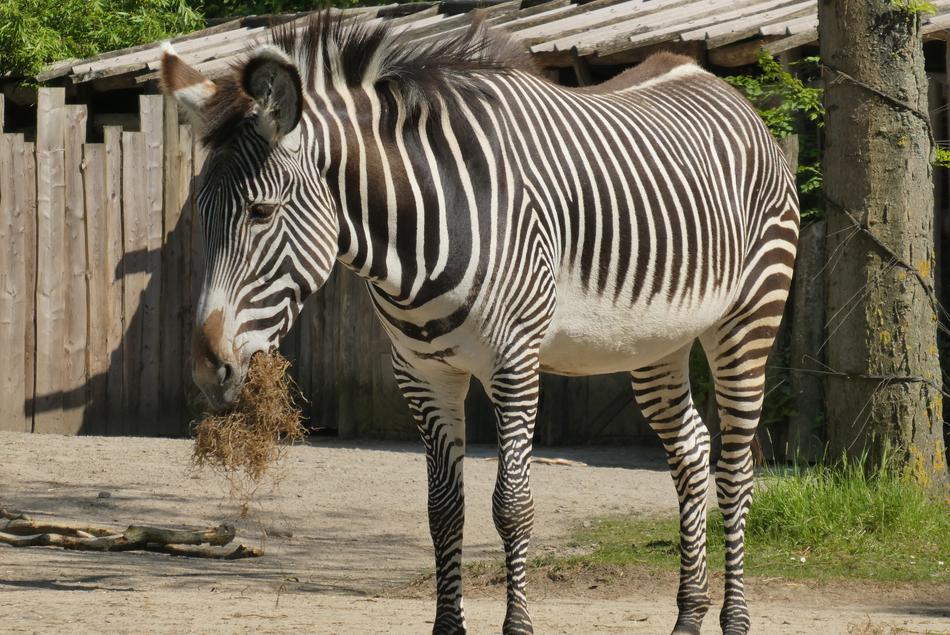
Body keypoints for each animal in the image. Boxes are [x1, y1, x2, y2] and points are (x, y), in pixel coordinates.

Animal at [162, 12, 798, 635]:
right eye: (201, 214)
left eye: (260, 212)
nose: (208, 369)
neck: (423, 227)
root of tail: (723, 89)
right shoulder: (422, 373)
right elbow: (444, 510)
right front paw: (448, 624)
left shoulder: (513, 364)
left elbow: (511, 505)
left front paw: (518, 624)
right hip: (654, 343)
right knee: (690, 451)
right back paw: (688, 615)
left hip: (748, 319)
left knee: (735, 468)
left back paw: (735, 617)